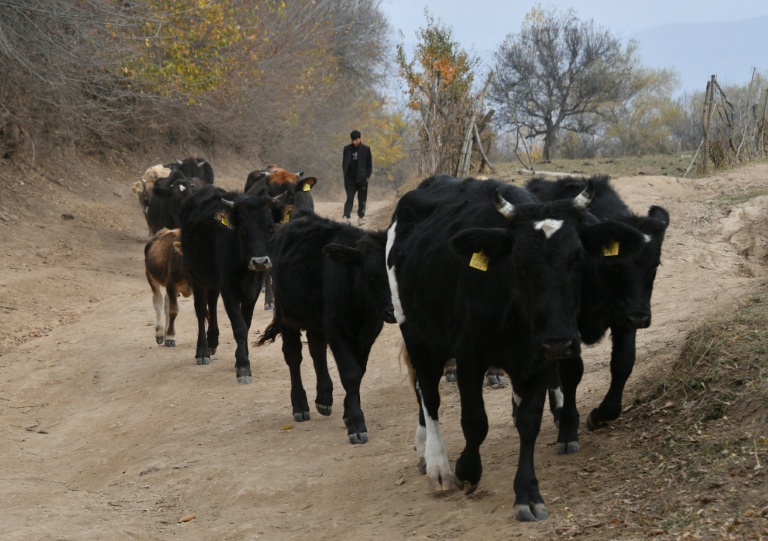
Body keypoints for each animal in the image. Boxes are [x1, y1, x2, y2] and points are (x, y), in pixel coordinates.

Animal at [179, 183, 286, 383]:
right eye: (243, 230)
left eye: (270, 228)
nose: (260, 262)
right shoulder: (228, 289)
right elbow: (239, 327)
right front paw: (243, 366)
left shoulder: (253, 290)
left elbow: (247, 323)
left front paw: (241, 358)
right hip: (196, 275)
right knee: (201, 309)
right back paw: (203, 351)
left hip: (213, 279)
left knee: (212, 302)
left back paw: (213, 340)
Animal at [256, 209, 396, 444]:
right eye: (372, 276)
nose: (394, 311)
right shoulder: (336, 328)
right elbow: (350, 373)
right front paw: (356, 424)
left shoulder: (369, 332)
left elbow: (360, 371)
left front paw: (348, 414)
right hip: (286, 314)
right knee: (293, 355)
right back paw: (300, 405)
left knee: (316, 348)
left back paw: (324, 398)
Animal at [386, 174, 651, 521]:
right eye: (520, 262)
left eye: (577, 258)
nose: (559, 339)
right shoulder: (469, 356)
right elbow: (474, 421)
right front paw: (467, 470)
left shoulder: (542, 359)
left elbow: (529, 422)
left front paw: (527, 493)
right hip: (416, 333)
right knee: (427, 394)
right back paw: (437, 464)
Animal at [526, 175, 670, 453]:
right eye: (615, 265)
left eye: (654, 264)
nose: (641, 317)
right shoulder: (570, 327)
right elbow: (573, 372)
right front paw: (568, 430)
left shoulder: (622, 319)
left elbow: (623, 363)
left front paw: (602, 413)